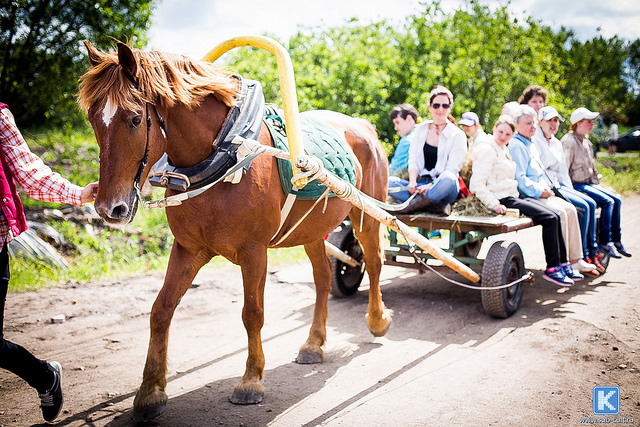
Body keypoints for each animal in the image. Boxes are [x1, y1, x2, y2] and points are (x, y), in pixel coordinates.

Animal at [78, 41, 392, 422]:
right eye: (94, 119)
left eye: (136, 119)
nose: (109, 208)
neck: (225, 152)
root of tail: (362, 125)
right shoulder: (188, 249)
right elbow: (161, 309)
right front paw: (151, 390)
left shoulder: (254, 252)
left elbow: (252, 314)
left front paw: (251, 380)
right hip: (312, 230)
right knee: (321, 278)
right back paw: (314, 343)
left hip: (366, 218)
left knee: (373, 263)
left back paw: (377, 319)